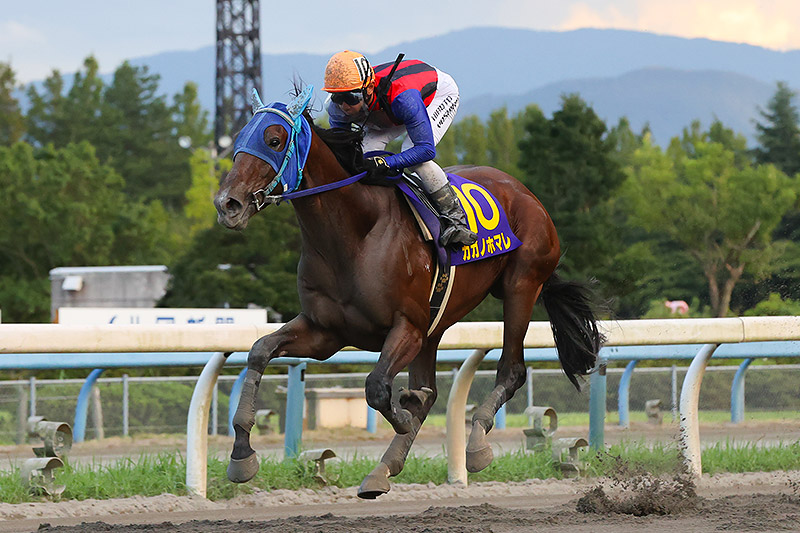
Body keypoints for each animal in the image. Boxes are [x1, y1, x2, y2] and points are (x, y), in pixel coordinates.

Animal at [212, 87, 600, 498]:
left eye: (274, 140)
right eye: (238, 140)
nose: (227, 204)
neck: (354, 235)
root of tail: (525, 192)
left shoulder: (407, 327)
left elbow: (378, 388)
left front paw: (404, 414)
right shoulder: (326, 332)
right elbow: (260, 350)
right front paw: (241, 454)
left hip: (520, 286)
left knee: (511, 370)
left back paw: (476, 443)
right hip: (437, 322)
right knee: (432, 387)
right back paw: (384, 468)